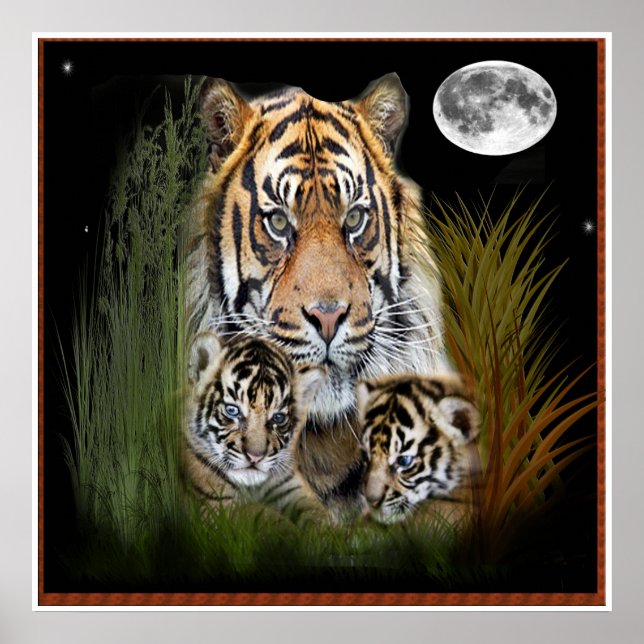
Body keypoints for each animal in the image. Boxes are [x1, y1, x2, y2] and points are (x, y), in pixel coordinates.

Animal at [184, 331, 327, 519]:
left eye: (278, 418)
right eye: (232, 410)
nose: (255, 457)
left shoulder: (290, 483)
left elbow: (318, 514)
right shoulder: (215, 505)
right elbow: (266, 517)